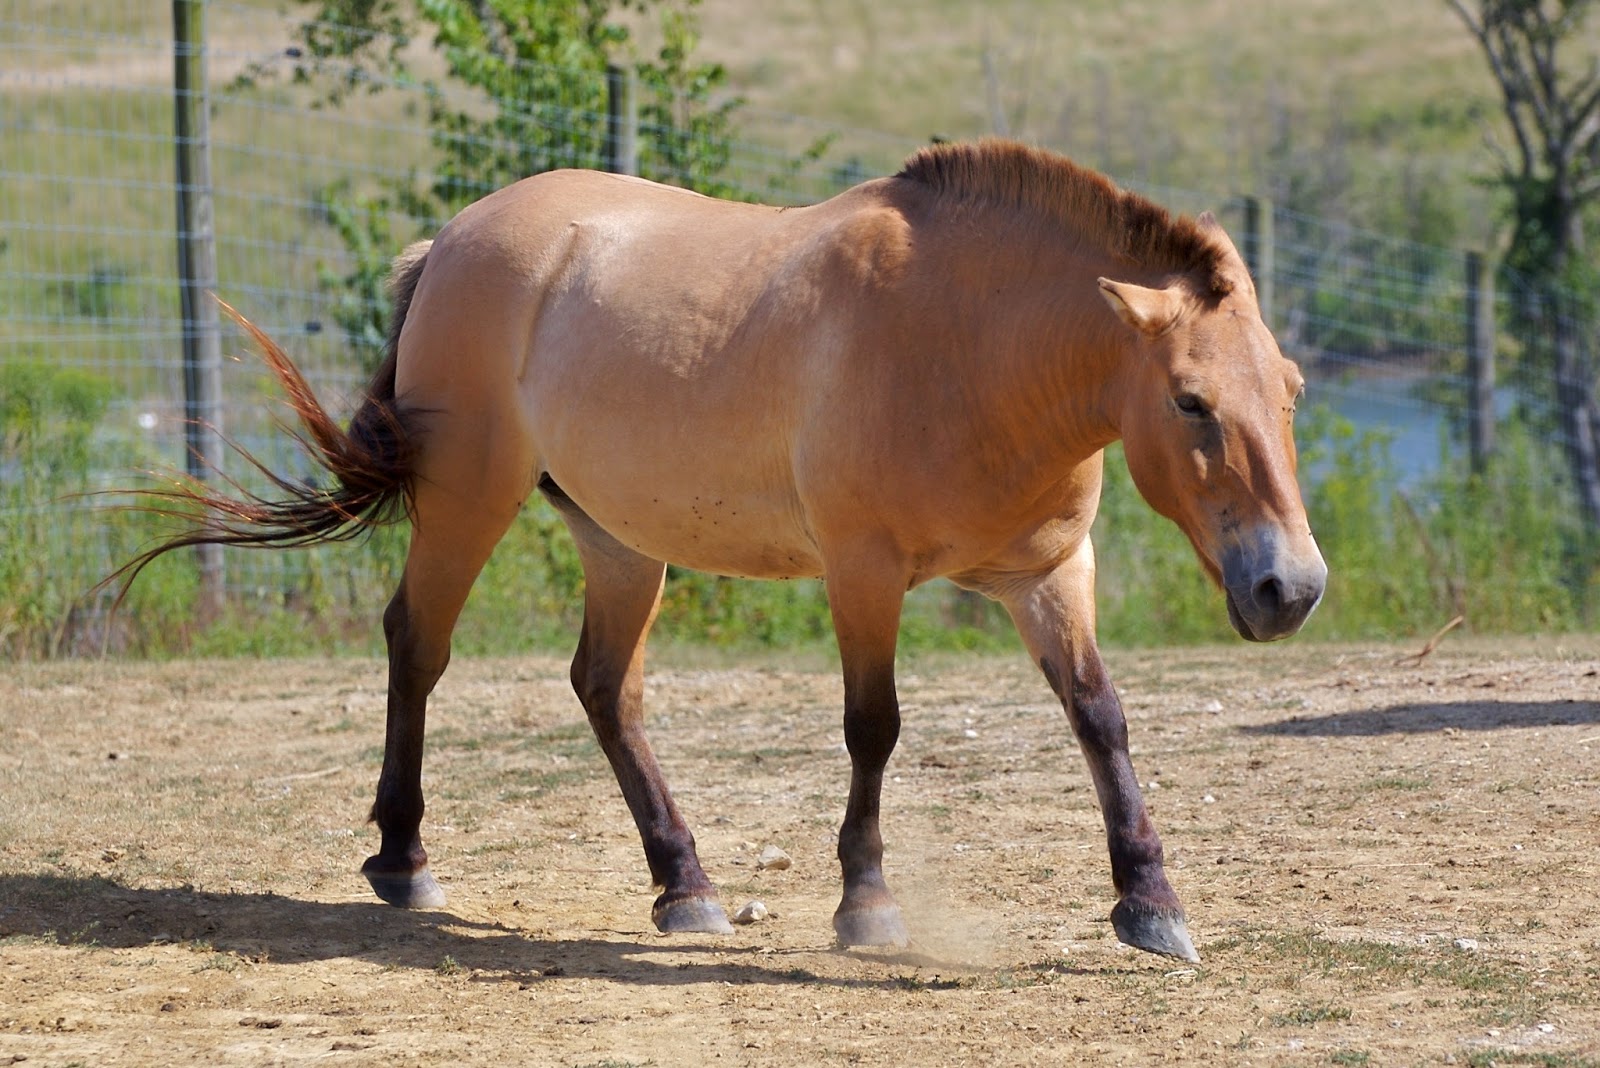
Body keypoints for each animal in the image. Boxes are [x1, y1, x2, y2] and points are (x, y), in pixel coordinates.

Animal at [116, 139, 1326, 963]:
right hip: (469, 499)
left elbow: (1101, 719)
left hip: (616, 540)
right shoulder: (862, 571)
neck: (968, 345)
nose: (1291, 587)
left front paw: (1151, 903)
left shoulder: (1047, 577)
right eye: (1191, 401)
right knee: (417, 645)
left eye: (1291, 391)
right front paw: (867, 904)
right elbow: (875, 729)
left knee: (605, 689)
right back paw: (404, 863)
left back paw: (684, 883)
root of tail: (453, 241)